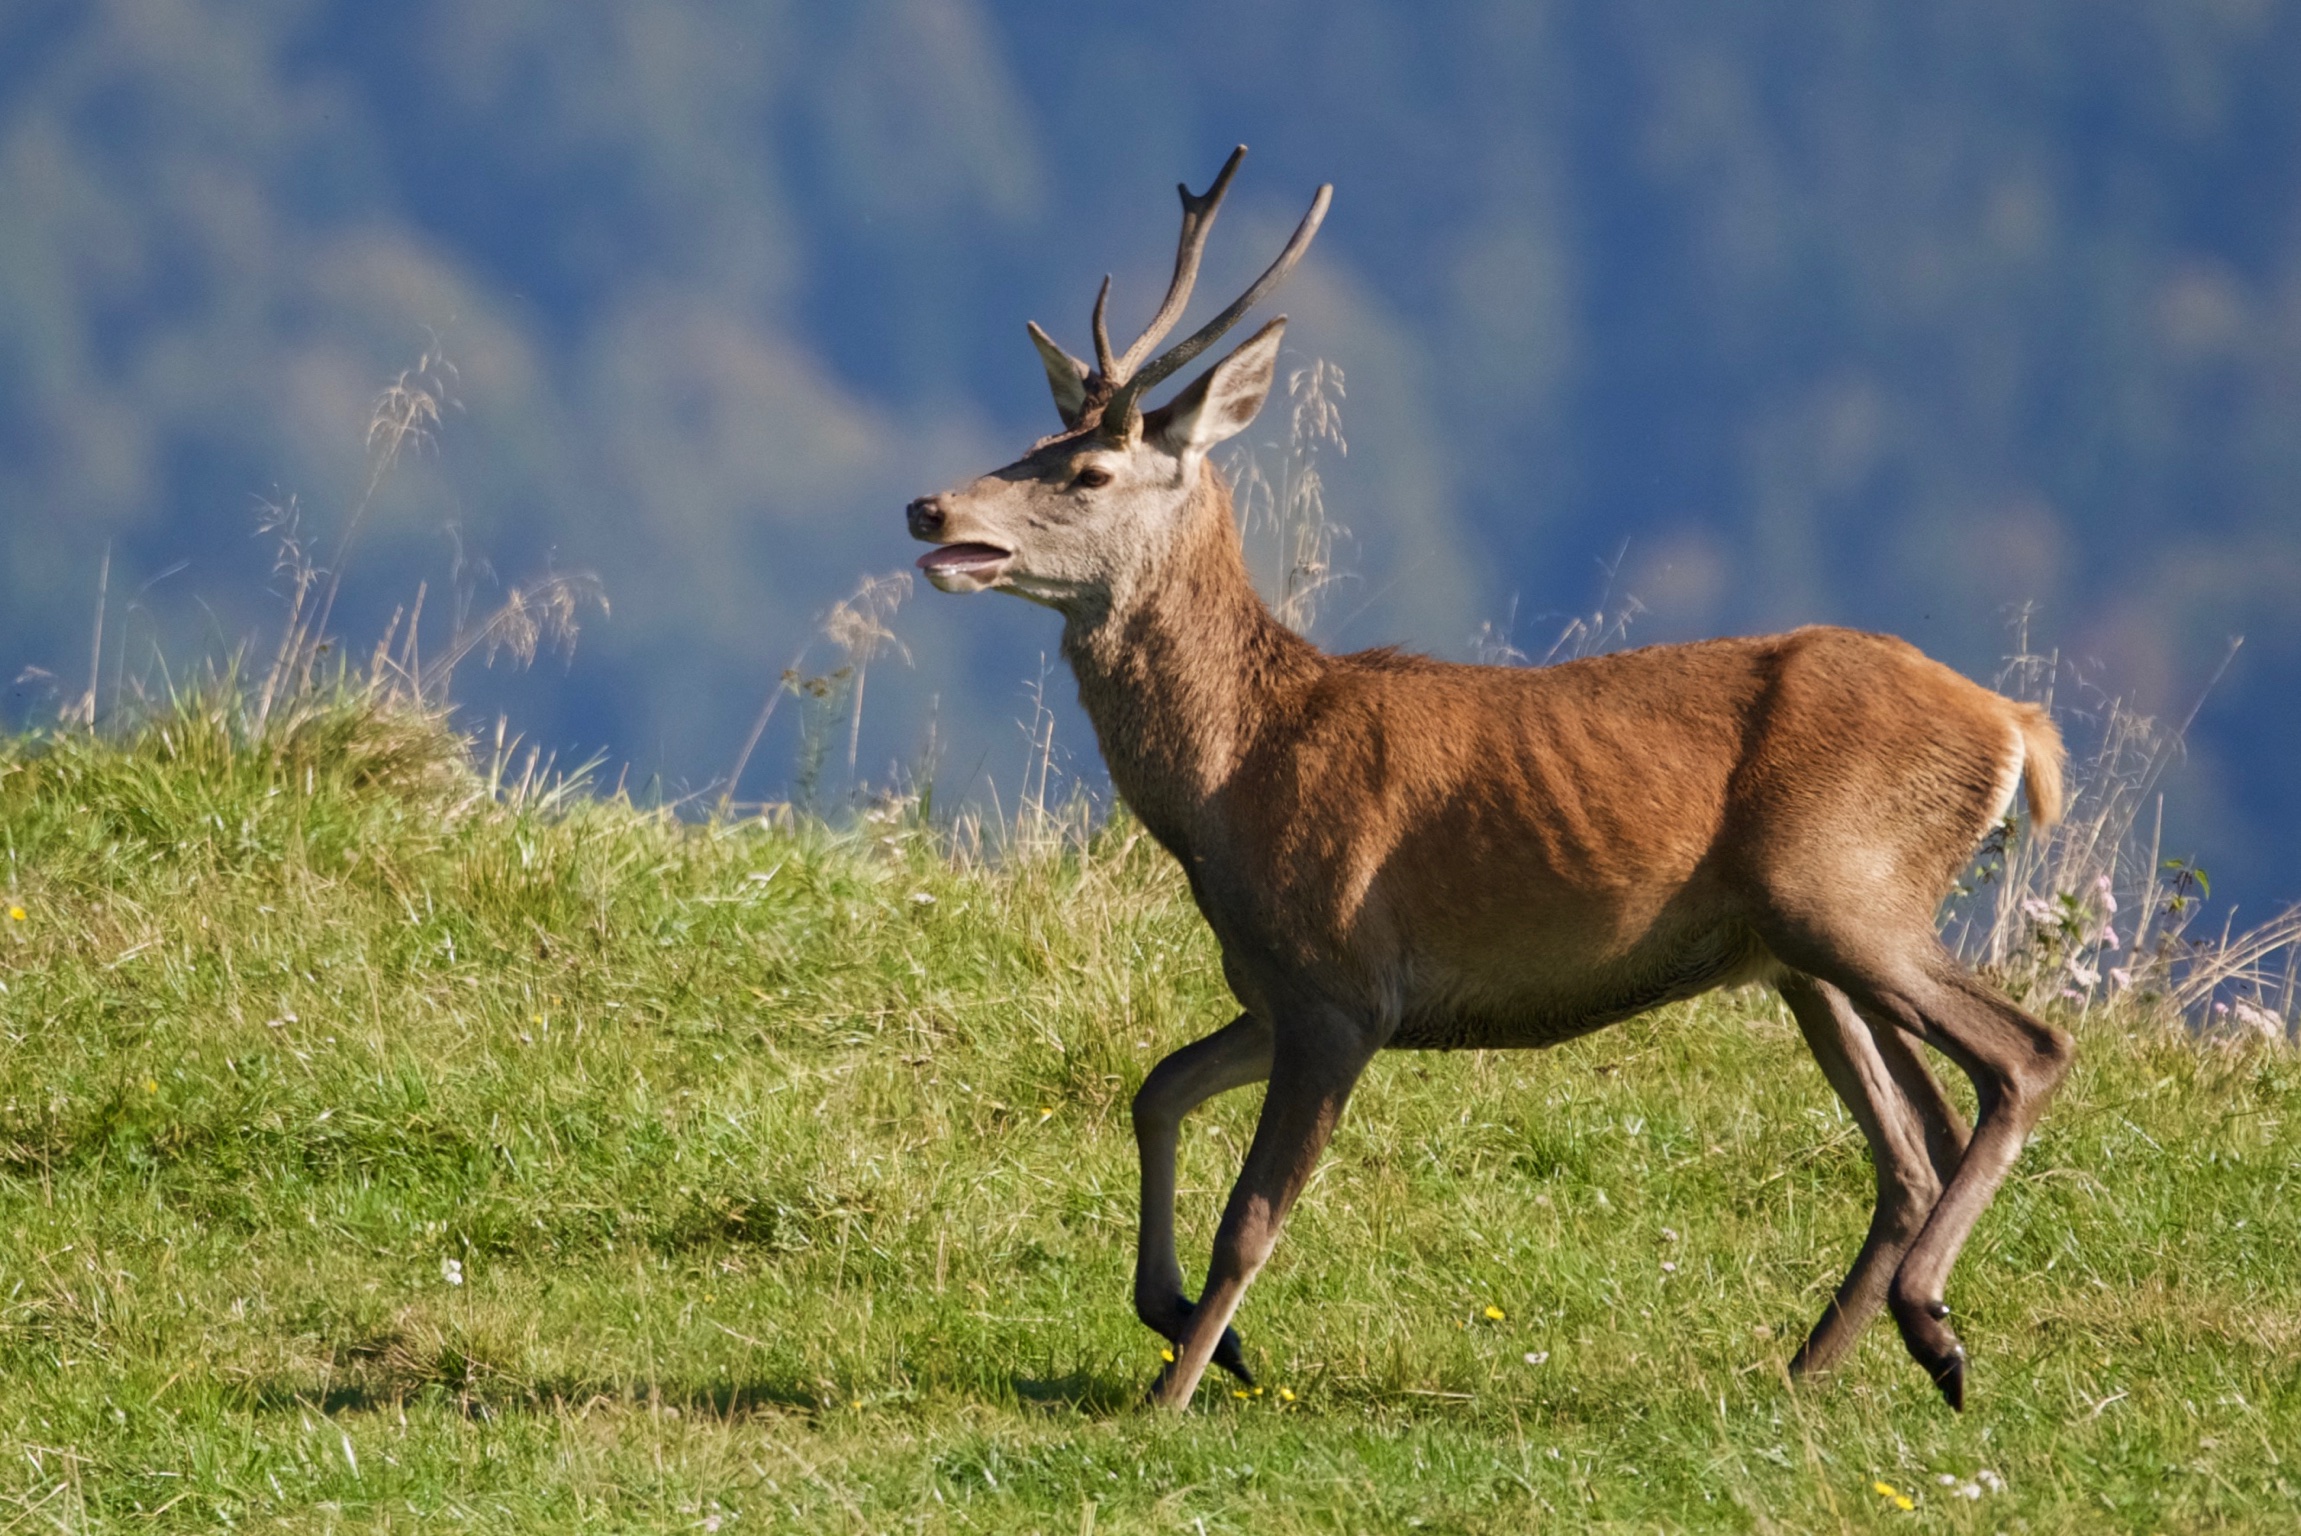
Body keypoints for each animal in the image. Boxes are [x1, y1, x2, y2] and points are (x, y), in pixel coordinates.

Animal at [906, 146, 2072, 1414]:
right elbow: (1156, 1085)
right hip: (1800, 951)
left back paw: (1923, 1323)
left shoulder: (1344, 987)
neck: (1233, 785)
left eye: (1088, 468)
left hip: (1839, 892)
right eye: (1034, 442)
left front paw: (1176, 1389)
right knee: (1913, 1143)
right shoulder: (1276, 990)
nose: (929, 505)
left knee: (2023, 1057)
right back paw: (1831, 1363)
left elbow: (1251, 1219)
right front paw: (1178, 1323)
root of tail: (2015, 726)